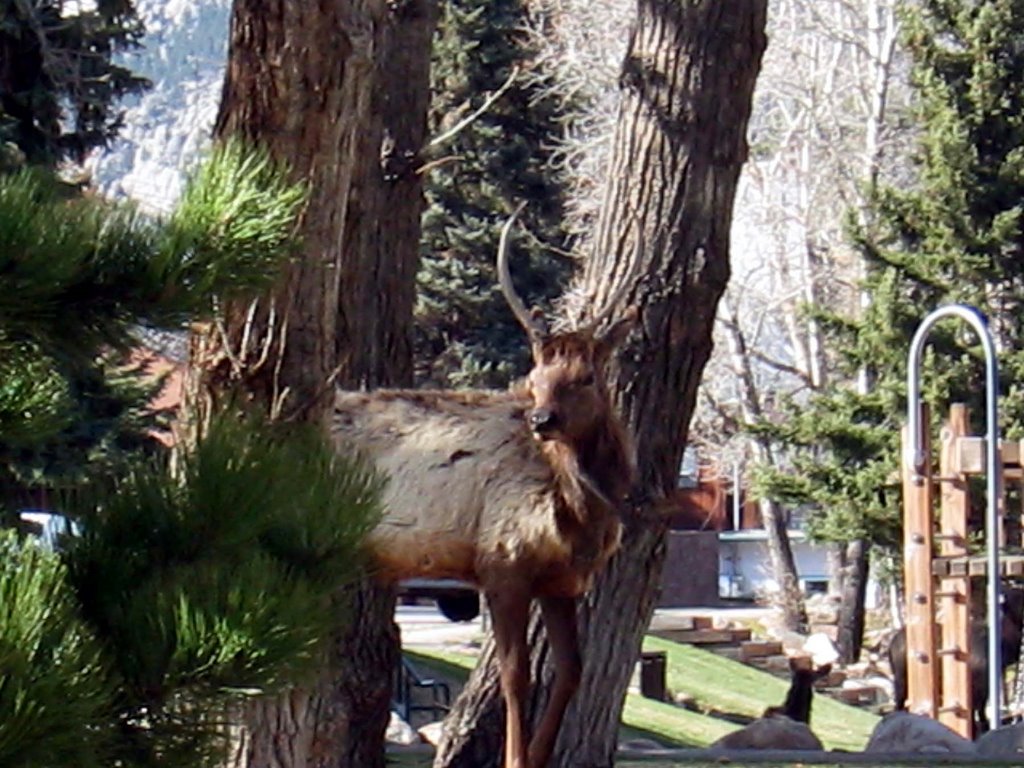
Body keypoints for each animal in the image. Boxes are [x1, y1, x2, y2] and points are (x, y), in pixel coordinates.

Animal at [331, 207, 634, 765]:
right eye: (535, 377)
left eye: (586, 378)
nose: (542, 419)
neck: (583, 513)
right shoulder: (502, 565)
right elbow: (517, 676)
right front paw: (515, 757)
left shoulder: (562, 583)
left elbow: (570, 673)